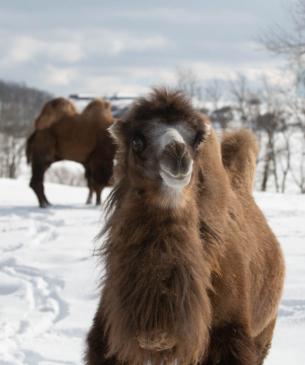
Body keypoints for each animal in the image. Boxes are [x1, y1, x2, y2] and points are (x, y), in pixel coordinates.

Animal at [84, 87, 284, 364]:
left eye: (197, 139)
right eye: (137, 141)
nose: (178, 154)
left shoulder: (230, 336)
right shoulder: (108, 337)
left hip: (264, 330)